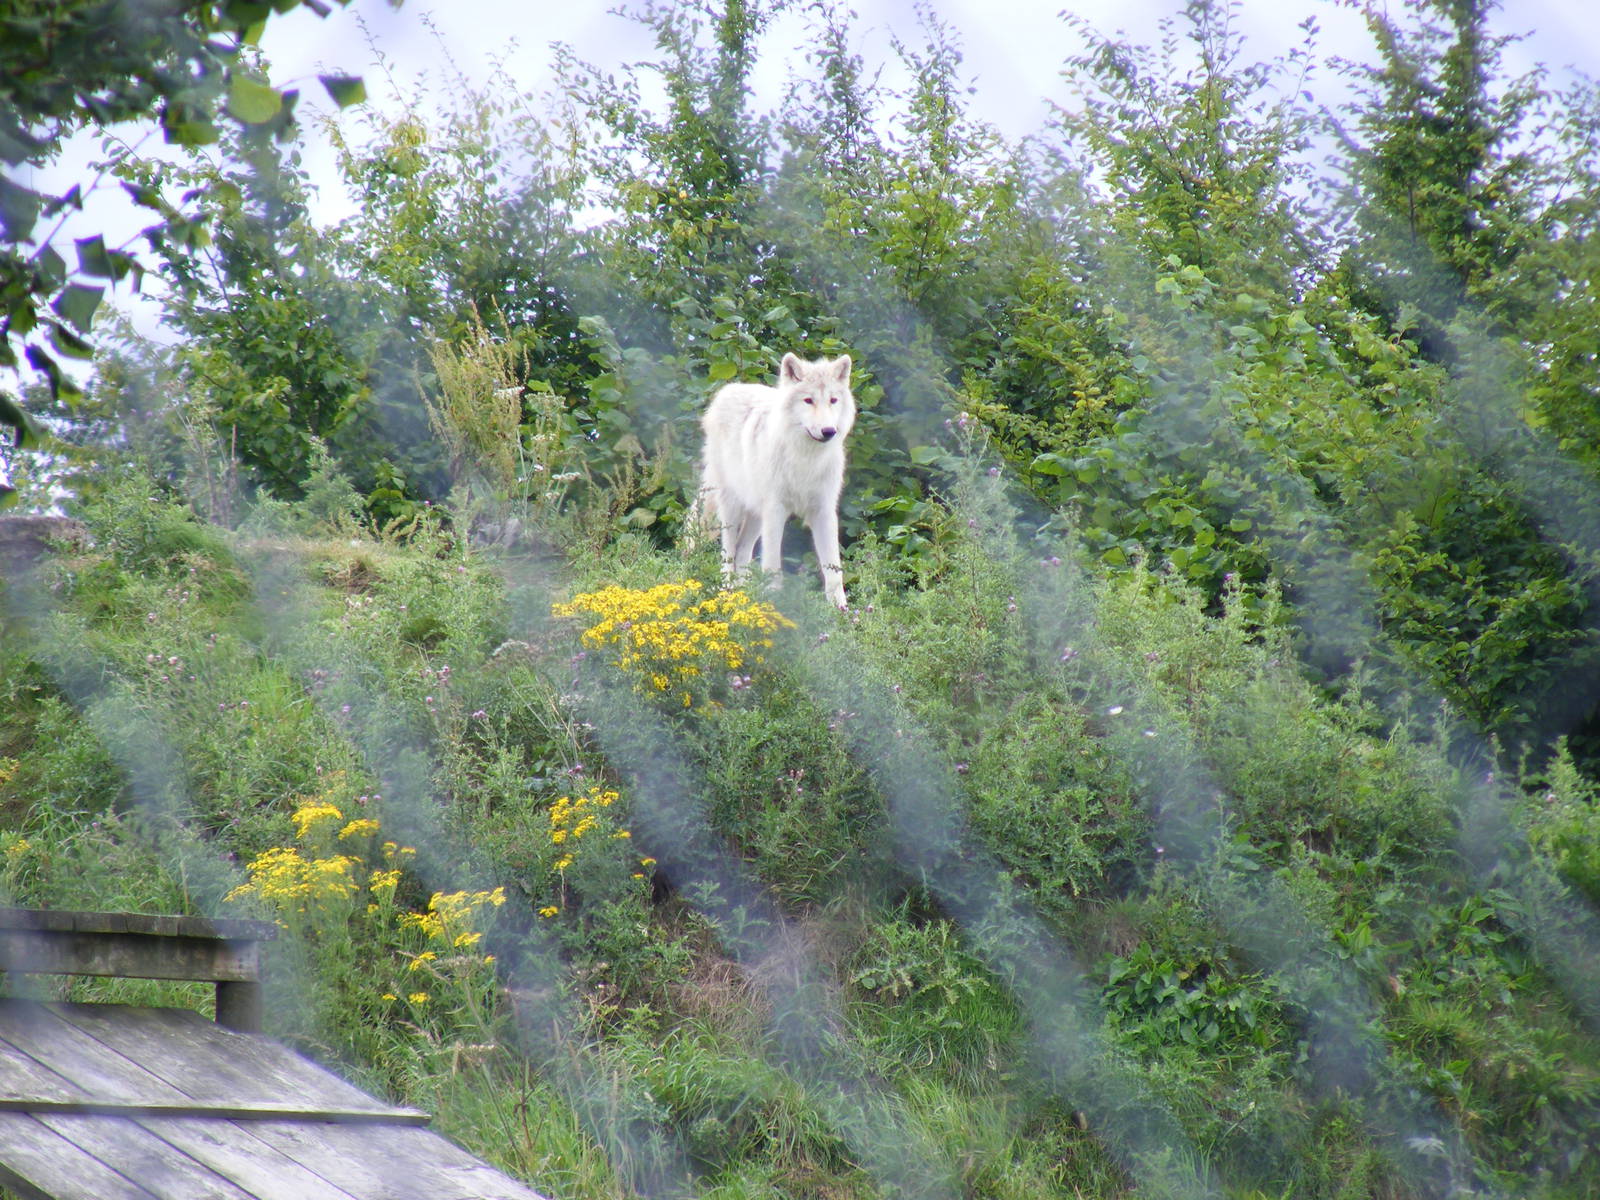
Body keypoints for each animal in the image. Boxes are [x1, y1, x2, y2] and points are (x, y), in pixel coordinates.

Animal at [695, 352, 856, 609]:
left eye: (833, 400)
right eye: (808, 400)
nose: (828, 431)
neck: (805, 459)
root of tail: (729, 389)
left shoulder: (824, 511)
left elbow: (834, 570)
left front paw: (842, 612)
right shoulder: (776, 510)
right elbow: (772, 565)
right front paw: (774, 605)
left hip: (756, 515)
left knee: (742, 550)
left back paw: (744, 596)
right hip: (732, 509)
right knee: (728, 553)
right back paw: (728, 593)